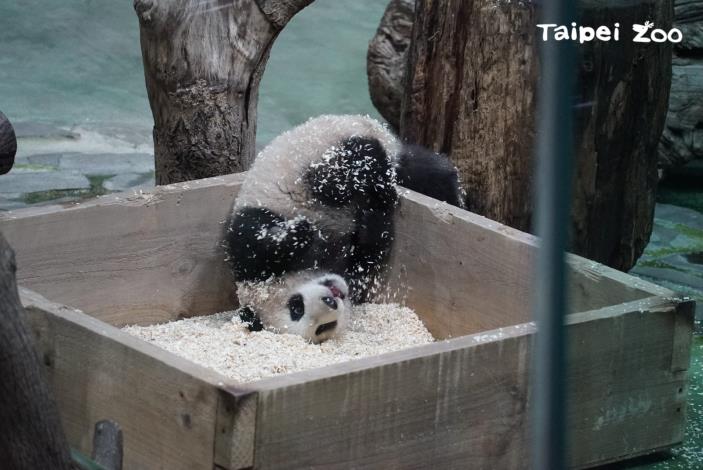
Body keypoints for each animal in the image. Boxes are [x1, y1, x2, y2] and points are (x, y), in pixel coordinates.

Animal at [228, 114, 464, 342]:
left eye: (296, 306)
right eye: (323, 327)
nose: (330, 301)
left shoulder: (252, 243)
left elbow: (253, 242)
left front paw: (300, 232)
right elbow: (371, 249)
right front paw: (371, 219)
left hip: (323, 146)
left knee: (343, 170)